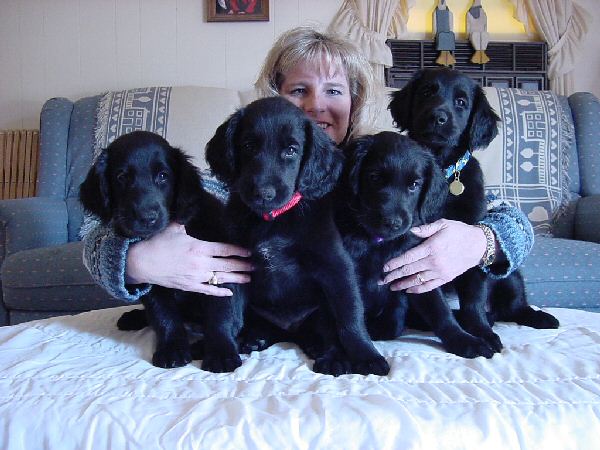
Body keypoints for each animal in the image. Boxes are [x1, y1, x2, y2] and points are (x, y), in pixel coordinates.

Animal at [79, 130, 244, 372]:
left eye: (163, 176)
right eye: (121, 177)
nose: (147, 217)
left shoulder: (222, 269)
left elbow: (221, 313)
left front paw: (221, 353)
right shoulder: (155, 280)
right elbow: (164, 316)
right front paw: (172, 349)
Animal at [205, 96, 390, 376]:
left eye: (291, 150)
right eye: (248, 146)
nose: (263, 193)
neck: (272, 219)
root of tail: (290, 331)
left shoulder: (336, 267)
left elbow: (350, 316)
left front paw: (366, 354)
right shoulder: (232, 264)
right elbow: (224, 311)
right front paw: (220, 349)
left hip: (320, 311)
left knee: (328, 330)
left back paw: (330, 355)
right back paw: (254, 338)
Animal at [337, 131, 495, 358]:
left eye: (414, 185)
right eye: (374, 177)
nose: (393, 222)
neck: (379, 242)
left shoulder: (414, 269)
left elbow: (440, 310)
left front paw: (463, 340)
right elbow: (351, 310)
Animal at [389, 68, 559, 353]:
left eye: (461, 102)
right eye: (426, 92)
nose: (437, 117)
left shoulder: (470, 241)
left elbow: (473, 298)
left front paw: (481, 331)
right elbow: (438, 305)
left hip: (508, 274)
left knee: (514, 307)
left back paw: (539, 317)